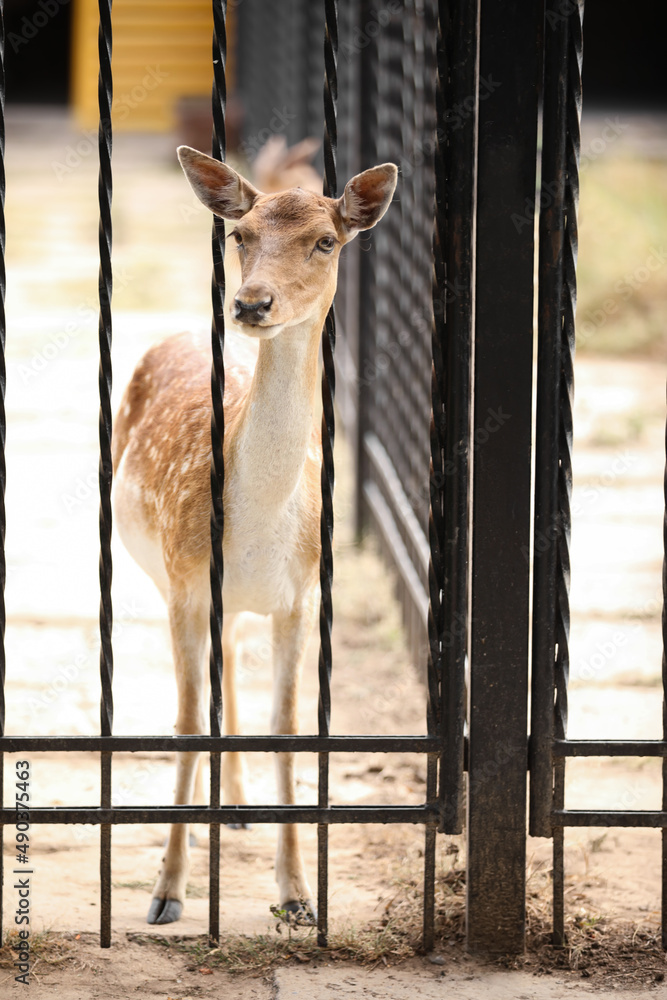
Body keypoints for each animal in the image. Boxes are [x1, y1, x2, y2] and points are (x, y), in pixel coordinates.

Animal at [112, 145, 400, 924]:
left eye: (325, 241)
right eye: (240, 235)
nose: (250, 304)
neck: (260, 523)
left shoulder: (298, 598)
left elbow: (288, 728)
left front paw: (298, 896)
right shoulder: (185, 585)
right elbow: (184, 723)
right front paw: (166, 893)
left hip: (238, 602)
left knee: (232, 662)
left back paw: (237, 808)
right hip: (164, 577)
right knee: (214, 675)